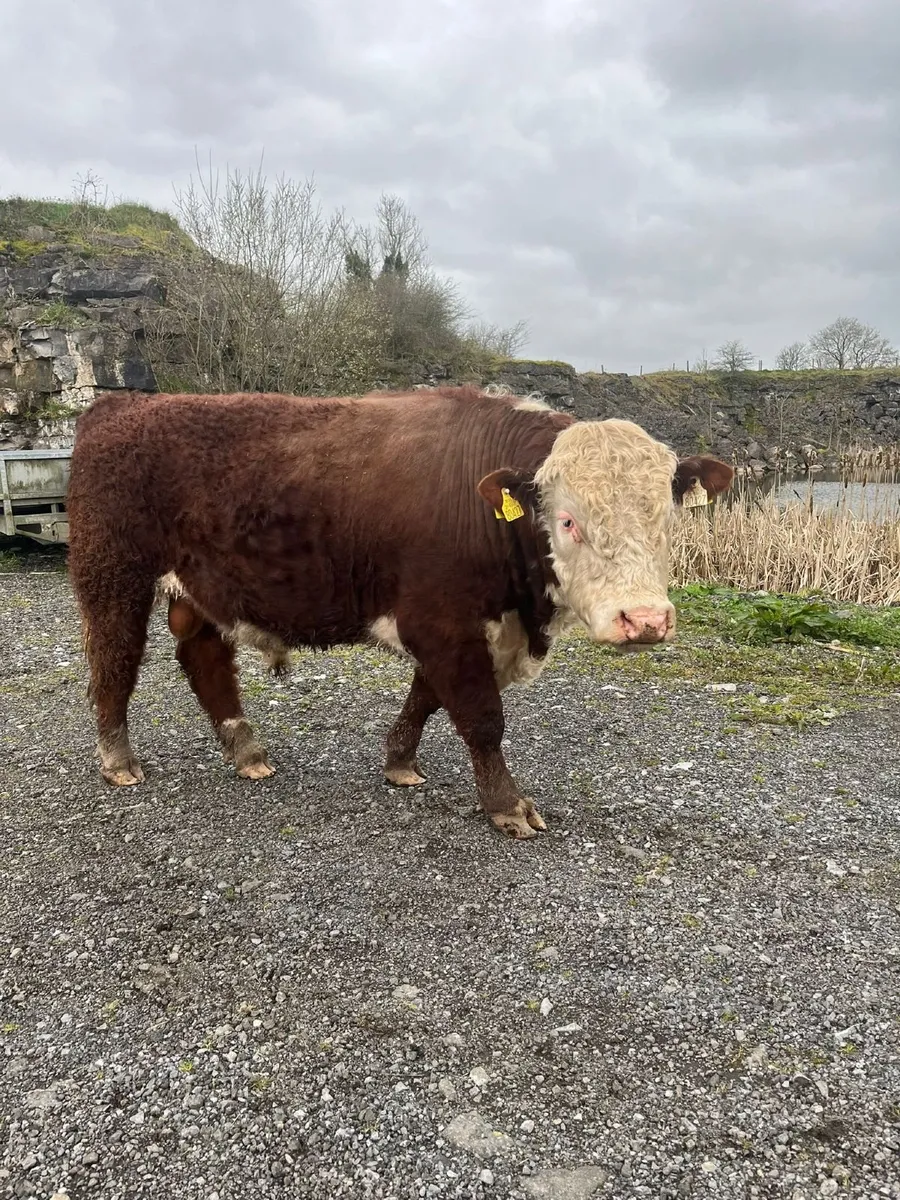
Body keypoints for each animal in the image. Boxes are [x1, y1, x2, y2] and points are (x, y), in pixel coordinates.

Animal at [65, 385, 733, 840]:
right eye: (567, 521)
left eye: (667, 515)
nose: (643, 620)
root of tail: (120, 406)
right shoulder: (440, 621)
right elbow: (481, 717)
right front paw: (507, 806)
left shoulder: (461, 626)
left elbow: (427, 698)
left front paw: (400, 763)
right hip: (113, 573)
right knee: (115, 660)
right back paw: (118, 761)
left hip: (201, 586)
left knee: (203, 658)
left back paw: (247, 752)